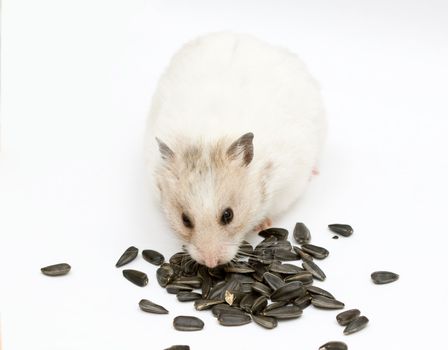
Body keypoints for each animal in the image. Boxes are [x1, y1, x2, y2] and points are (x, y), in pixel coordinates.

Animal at [146, 32, 326, 268]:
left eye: (228, 215)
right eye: (185, 219)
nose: (211, 263)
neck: (209, 138)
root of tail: (244, 36)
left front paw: (263, 224)